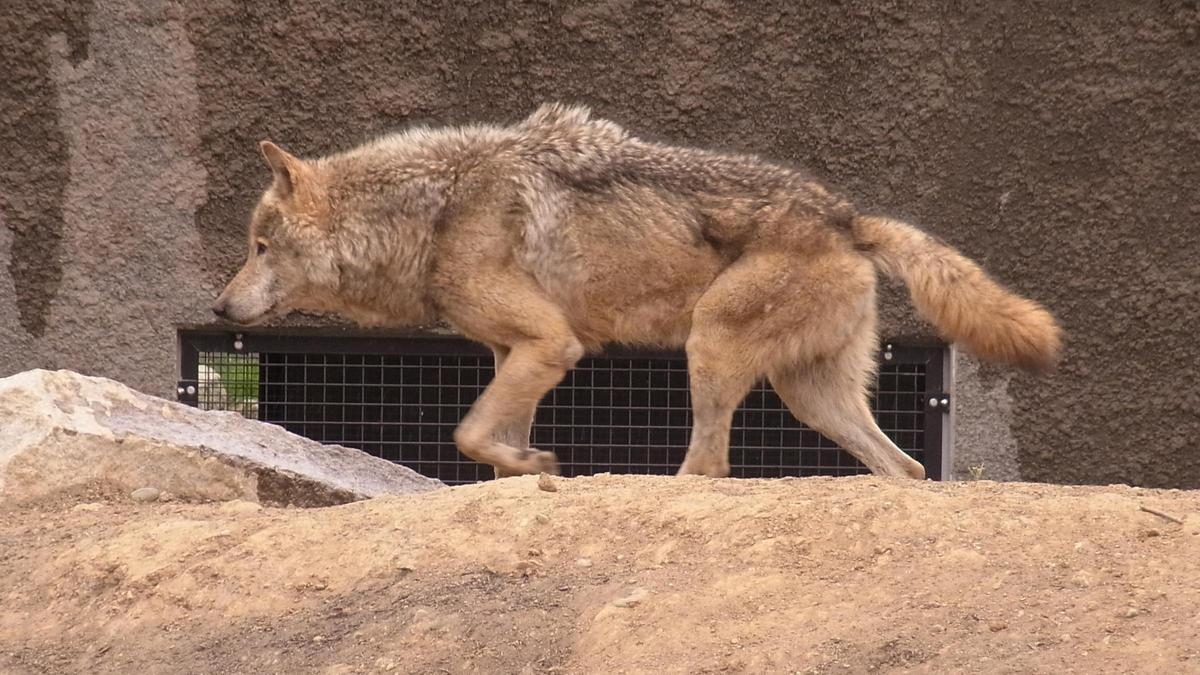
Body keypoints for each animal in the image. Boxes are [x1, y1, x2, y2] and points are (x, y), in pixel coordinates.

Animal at [213, 103, 1061, 480]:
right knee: (907, 469)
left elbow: (470, 435)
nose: (219, 308)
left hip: (710, 347)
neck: (436, 210)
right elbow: (492, 444)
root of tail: (848, 218)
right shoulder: (519, 354)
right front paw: (531, 471)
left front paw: (541, 463)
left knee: (711, 469)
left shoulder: (552, 344)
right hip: (811, 395)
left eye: (259, 247)